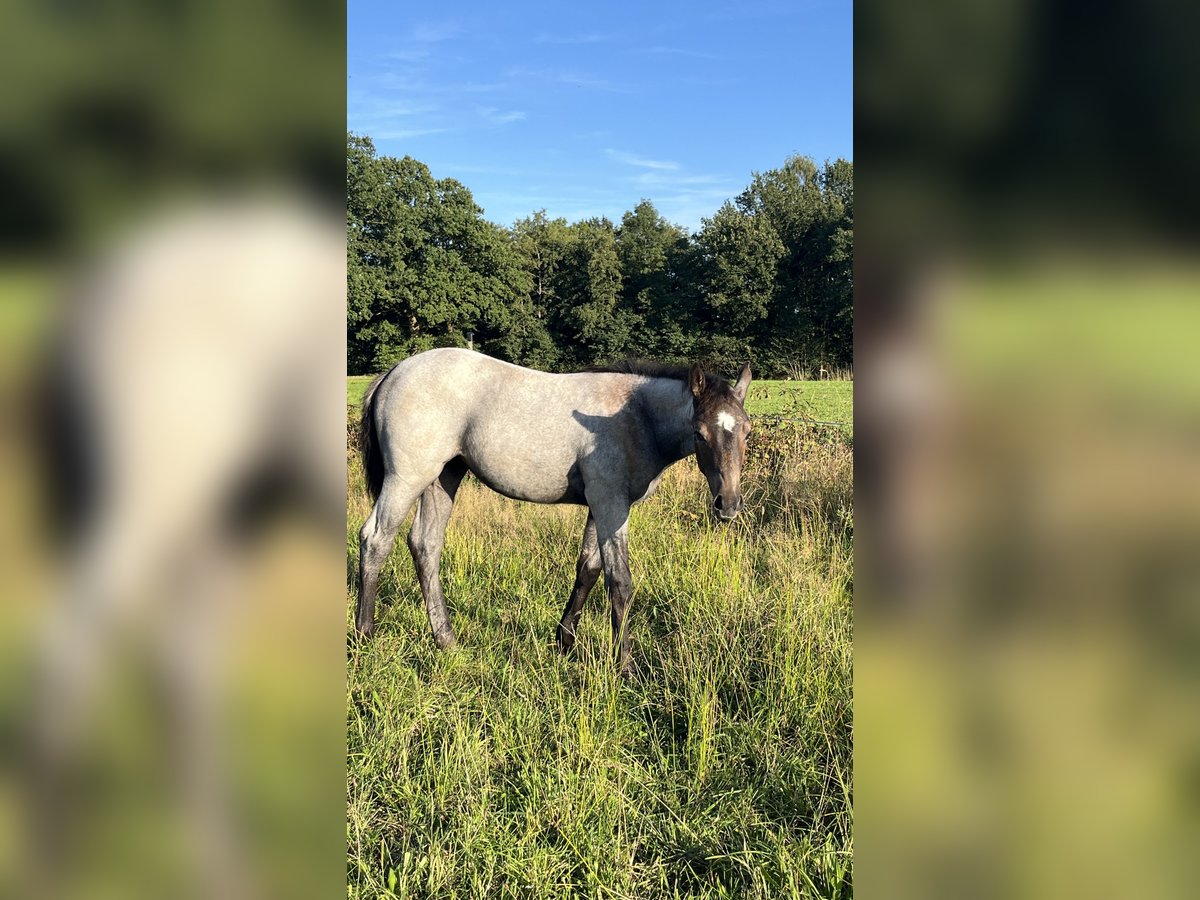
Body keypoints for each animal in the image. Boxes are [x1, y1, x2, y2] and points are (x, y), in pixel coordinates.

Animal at [354, 348, 753, 674]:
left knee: (425, 545)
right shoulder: (611, 504)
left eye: (747, 430)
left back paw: (446, 640)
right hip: (407, 478)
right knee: (376, 539)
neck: (635, 416)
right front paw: (624, 667)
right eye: (699, 432)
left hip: (444, 476)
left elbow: (588, 569)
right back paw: (365, 635)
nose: (729, 504)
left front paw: (564, 642)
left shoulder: (601, 505)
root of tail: (393, 372)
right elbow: (620, 582)